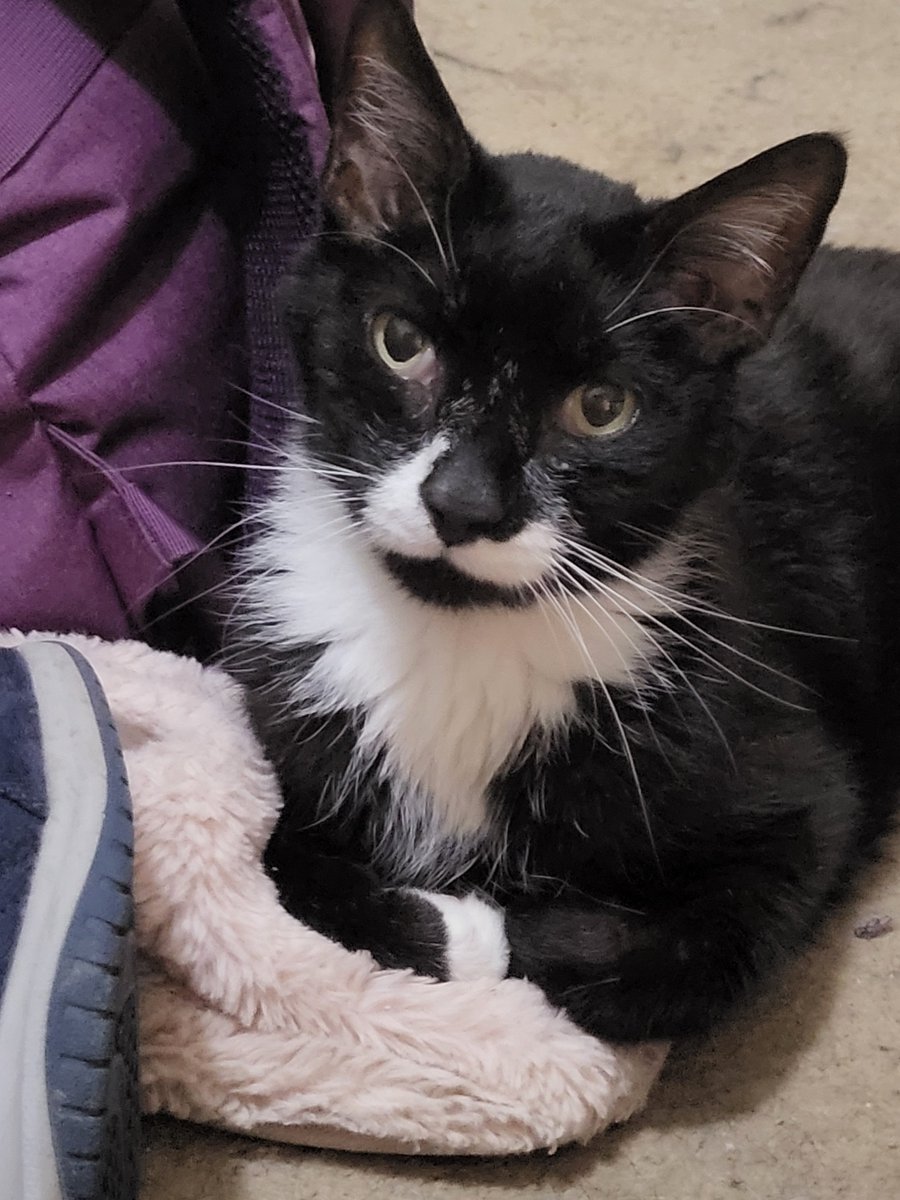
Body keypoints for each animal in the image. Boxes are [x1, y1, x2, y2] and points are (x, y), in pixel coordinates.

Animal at [225, 0, 900, 1041]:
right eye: (401, 342)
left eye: (602, 408)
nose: (464, 503)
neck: (458, 638)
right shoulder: (279, 718)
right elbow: (278, 860)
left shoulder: (800, 781)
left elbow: (683, 948)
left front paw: (478, 928)